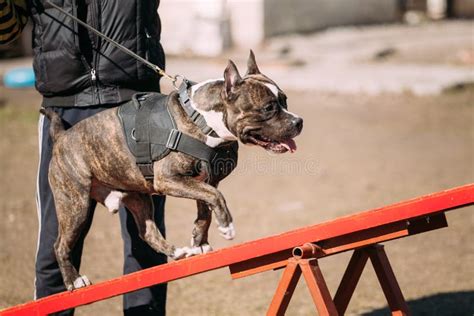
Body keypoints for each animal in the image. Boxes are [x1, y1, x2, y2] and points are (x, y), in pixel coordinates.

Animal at [39, 51, 302, 288]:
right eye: (268, 108)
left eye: (285, 100)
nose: (298, 121)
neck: (203, 120)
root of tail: (61, 137)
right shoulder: (169, 179)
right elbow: (216, 197)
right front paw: (226, 226)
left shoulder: (205, 180)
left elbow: (205, 210)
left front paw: (200, 242)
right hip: (75, 205)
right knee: (59, 245)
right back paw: (74, 280)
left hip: (138, 198)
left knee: (147, 232)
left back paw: (177, 252)